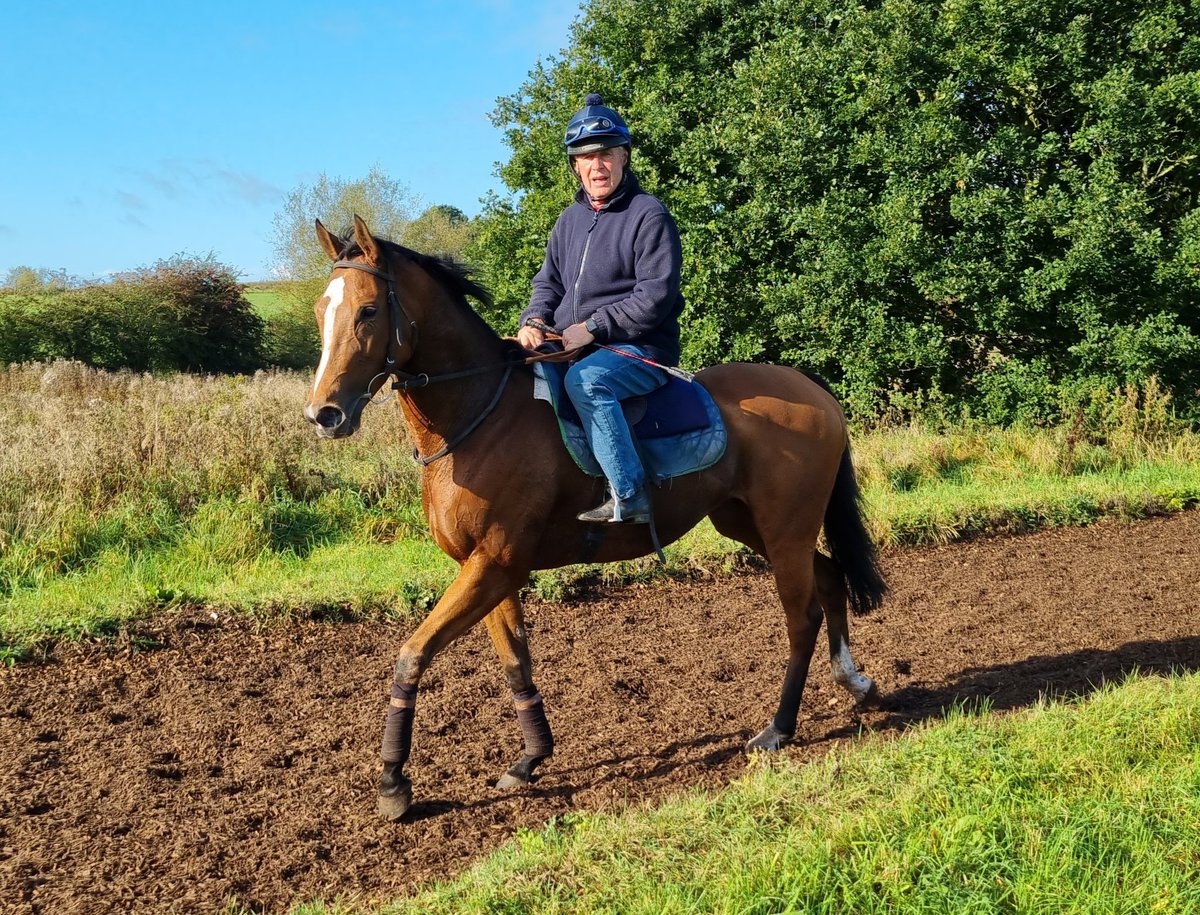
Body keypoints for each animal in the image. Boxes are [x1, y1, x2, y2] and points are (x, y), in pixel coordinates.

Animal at [304, 215, 887, 821]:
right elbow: (515, 662)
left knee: (802, 617)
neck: (481, 416)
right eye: (322, 310)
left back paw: (779, 729)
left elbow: (411, 655)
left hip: (784, 527)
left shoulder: (493, 565)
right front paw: (530, 758)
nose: (323, 414)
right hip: (752, 524)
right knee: (830, 578)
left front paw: (393, 782)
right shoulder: (488, 568)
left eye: (369, 310)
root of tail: (816, 392)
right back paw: (856, 683)